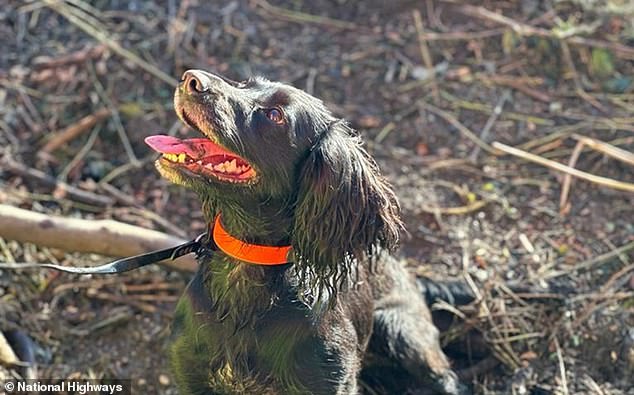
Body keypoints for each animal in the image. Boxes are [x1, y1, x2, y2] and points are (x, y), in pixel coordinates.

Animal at [144, 69, 470, 394]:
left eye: (275, 115)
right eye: (245, 83)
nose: (191, 78)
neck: (245, 270)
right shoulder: (191, 373)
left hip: (400, 329)